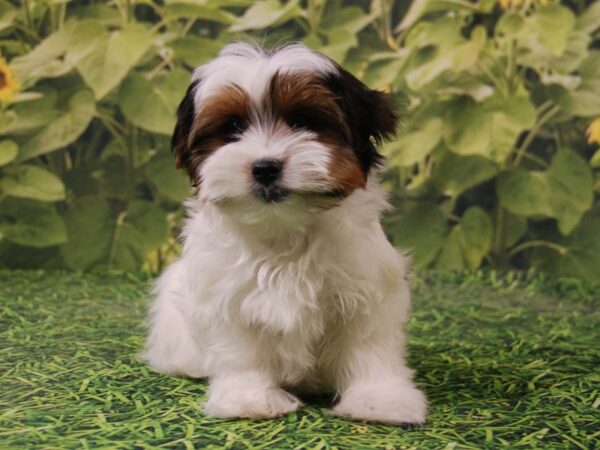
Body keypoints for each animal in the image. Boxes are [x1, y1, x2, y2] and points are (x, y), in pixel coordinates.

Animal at [144, 42, 426, 426]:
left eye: (304, 122)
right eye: (233, 127)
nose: (265, 167)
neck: (284, 228)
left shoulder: (367, 289)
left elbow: (369, 345)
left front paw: (380, 400)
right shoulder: (225, 293)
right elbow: (241, 350)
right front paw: (248, 399)